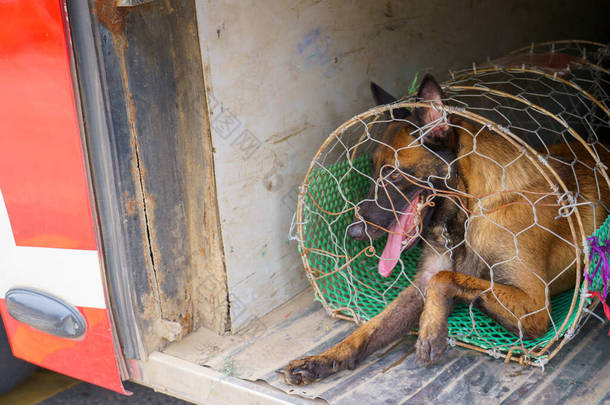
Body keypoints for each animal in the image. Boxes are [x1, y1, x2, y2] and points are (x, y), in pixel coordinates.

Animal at [282, 73, 608, 386]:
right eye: (372, 170)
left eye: (393, 175)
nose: (354, 232)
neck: (468, 210)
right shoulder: (421, 284)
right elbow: (369, 329)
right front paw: (323, 359)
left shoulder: (535, 307)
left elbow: (444, 278)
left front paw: (430, 330)